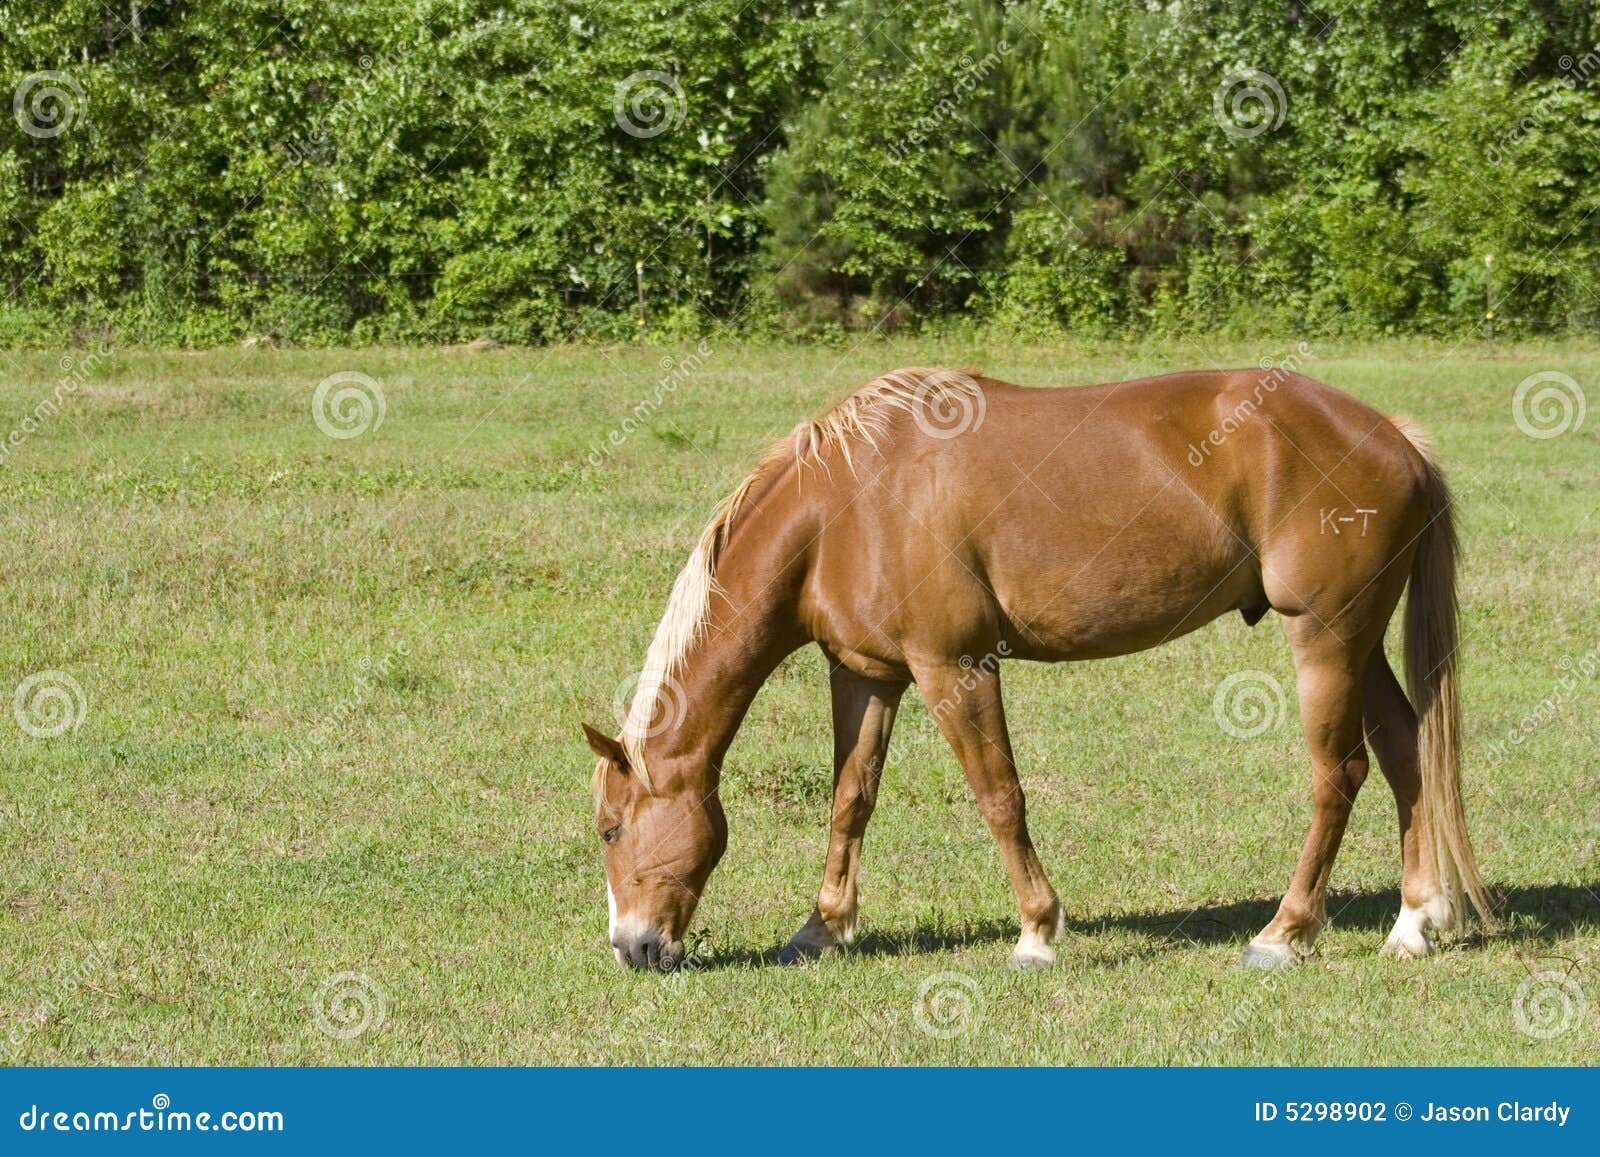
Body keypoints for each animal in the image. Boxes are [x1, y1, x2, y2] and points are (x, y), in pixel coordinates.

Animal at [582, 368, 1491, 966]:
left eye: (611, 827)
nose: (632, 947)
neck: (845, 504)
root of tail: (1395, 437)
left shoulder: (955, 666)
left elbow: (999, 796)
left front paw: (1037, 931)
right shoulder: (868, 675)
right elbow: (851, 800)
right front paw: (822, 927)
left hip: (1326, 638)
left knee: (1339, 774)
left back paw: (1285, 931)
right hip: (1357, 642)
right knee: (1408, 752)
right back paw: (1414, 922)